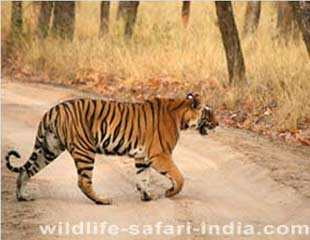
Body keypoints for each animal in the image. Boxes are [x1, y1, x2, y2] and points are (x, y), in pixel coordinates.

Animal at [4, 92, 218, 204]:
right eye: (209, 113)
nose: (218, 123)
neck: (180, 116)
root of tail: (53, 110)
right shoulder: (160, 155)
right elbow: (179, 177)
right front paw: (169, 193)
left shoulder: (142, 157)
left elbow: (143, 177)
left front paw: (147, 196)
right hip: (84, 150)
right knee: (83, 181)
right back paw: (102, 200)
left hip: (49, 149)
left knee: (26, 171)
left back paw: (22, 196)